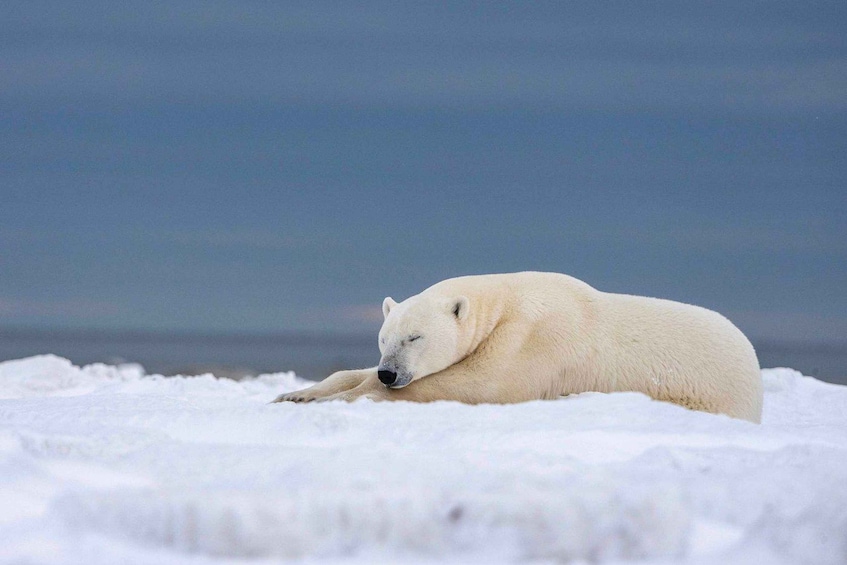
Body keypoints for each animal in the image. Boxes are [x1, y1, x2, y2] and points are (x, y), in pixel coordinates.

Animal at [273, 272, 763, 422]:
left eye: (415, 337)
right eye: (382, 338)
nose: (389, 371)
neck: (506, 302)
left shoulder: (536, 338)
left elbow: (481, 383)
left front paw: (343, 399)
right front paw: (295, 393)